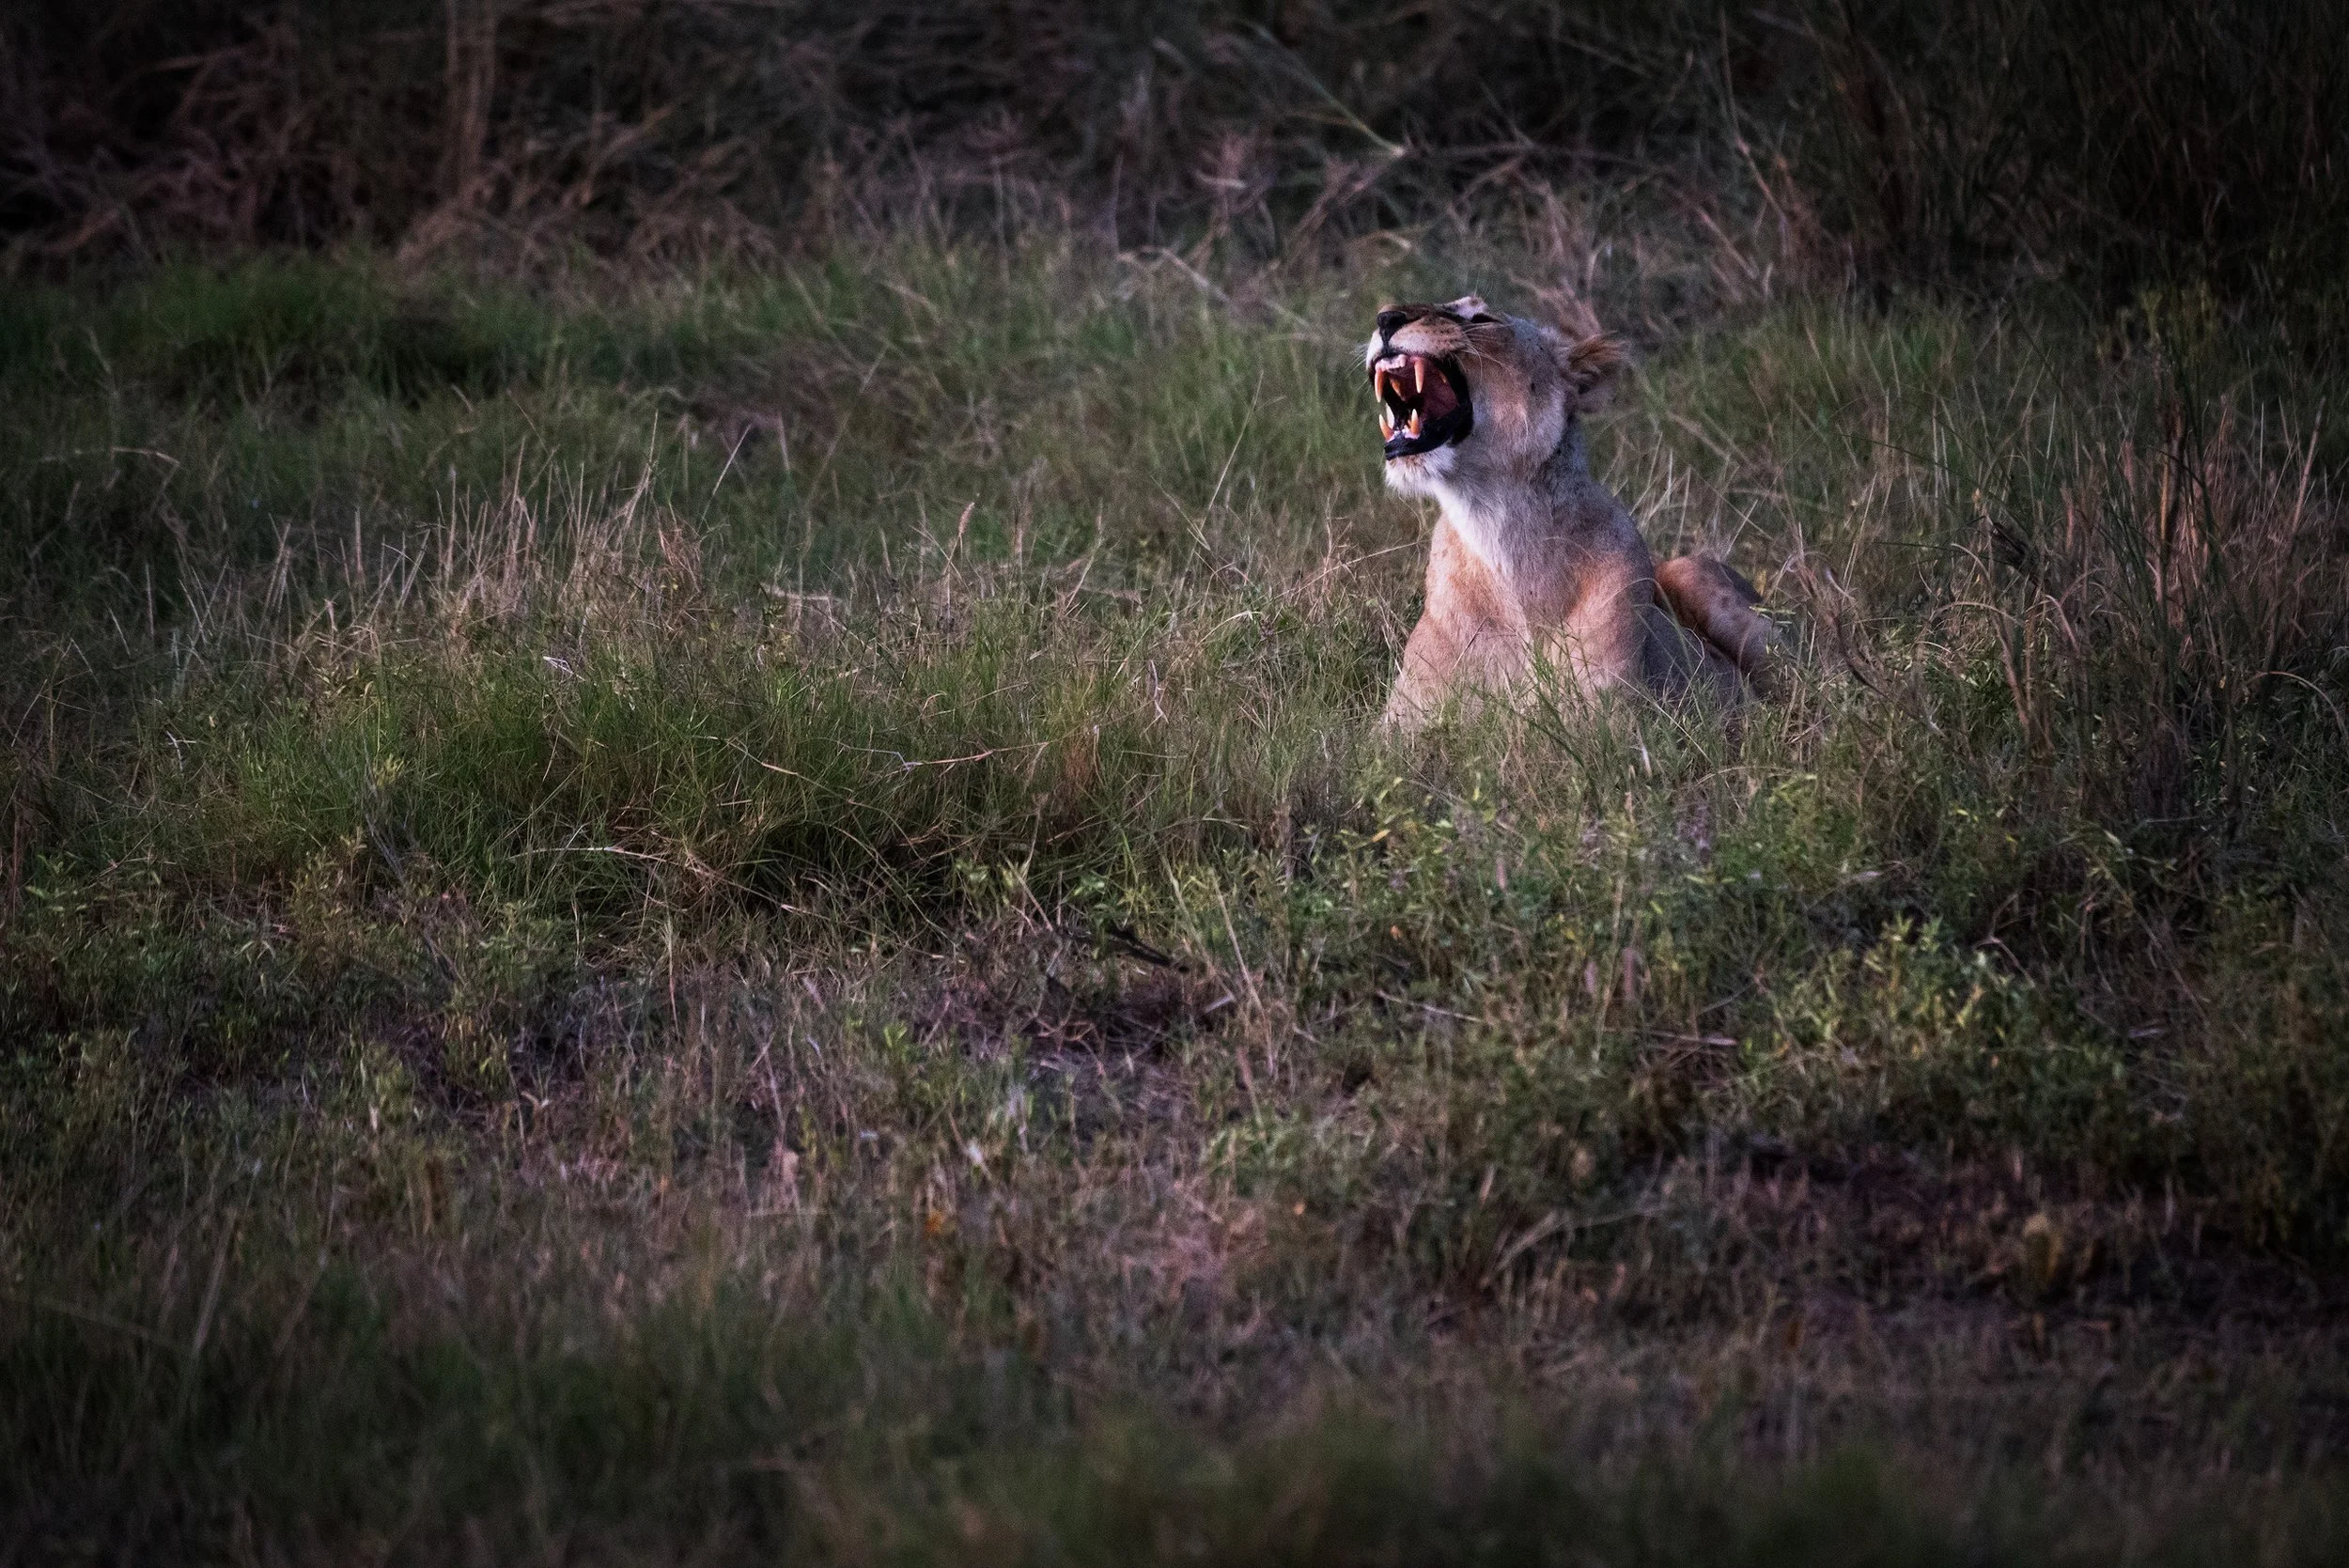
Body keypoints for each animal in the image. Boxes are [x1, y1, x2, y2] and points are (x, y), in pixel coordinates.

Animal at [1366, 296, 1780, 728]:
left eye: (1482, 318)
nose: (1386, 318)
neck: (1492, 522)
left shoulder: (1607, 726)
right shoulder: (1398, 730)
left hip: (1698, 577)